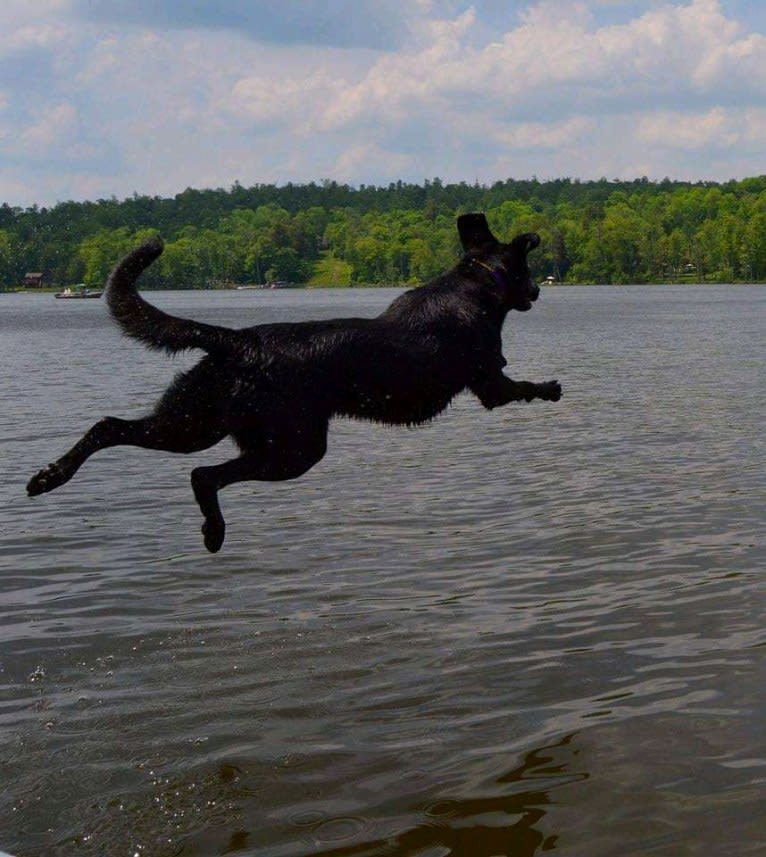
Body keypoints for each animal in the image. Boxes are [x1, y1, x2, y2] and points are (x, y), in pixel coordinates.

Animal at [27, 212, 560, 548]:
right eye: (530, 271)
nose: (538, 291)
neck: (476, 284)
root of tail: (238, 341)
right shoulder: (490, 383)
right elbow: (521, 388)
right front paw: (551, 388)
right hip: (293, 447)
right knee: (204, 474)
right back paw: (212, 531)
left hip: (193, 422)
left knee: (114, 428)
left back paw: (50, 477)